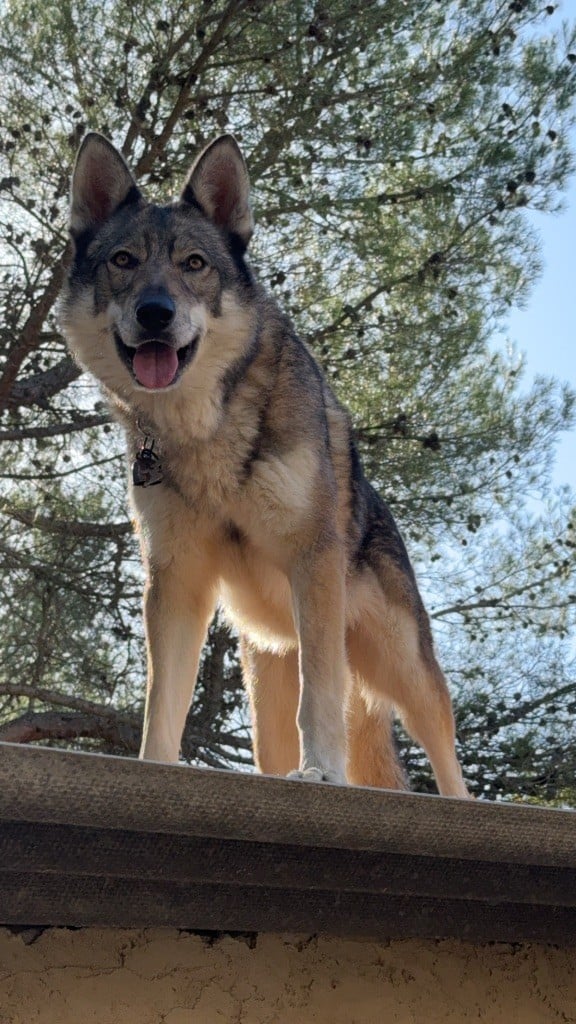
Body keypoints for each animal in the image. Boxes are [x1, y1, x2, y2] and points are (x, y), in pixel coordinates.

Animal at [60, 130, 469, 798]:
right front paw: (151, 771)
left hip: (403, 667)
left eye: (193, 264)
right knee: (276, 750)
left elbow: (319, 700)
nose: (155, 312)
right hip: (268, 681)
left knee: (449, 764)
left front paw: (322, 773)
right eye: (123, 260)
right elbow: (161, 708)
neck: (205, 428)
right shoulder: (176, 585)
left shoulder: (312, 563)